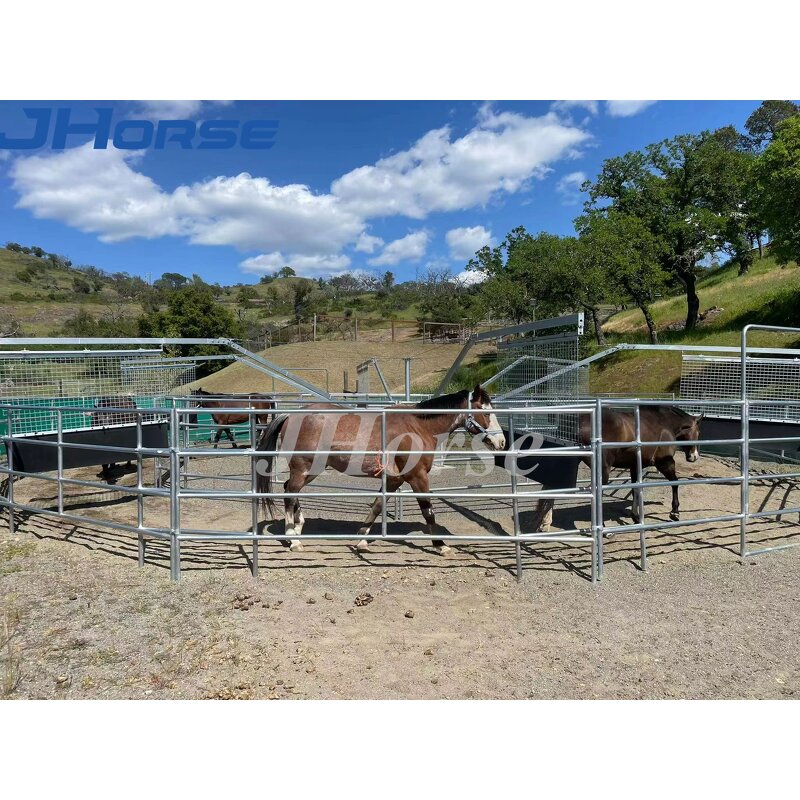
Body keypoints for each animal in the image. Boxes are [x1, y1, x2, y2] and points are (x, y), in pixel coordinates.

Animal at [255, 385, 506, 554]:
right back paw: (293, 539)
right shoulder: (417, 477)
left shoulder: (395, 479)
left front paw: (361, 540)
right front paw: (441, 545)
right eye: (486, 412)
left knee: (289, 489)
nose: (501, 442)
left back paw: (298, 528)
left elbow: (377, 506)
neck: (418, 426)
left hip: (312, 469)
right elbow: (428, 511)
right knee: (290, 493)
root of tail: (291, 414)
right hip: (304, 467)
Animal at [533, 405, 703, 530]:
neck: (663, 424)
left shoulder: (635, 466)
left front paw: (636, 516)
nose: (693, 456)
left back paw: (543, 523)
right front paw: (675, 513)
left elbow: (636, 489)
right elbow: (675, 483)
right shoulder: (664, 462)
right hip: (602, 471)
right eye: (698, 431)